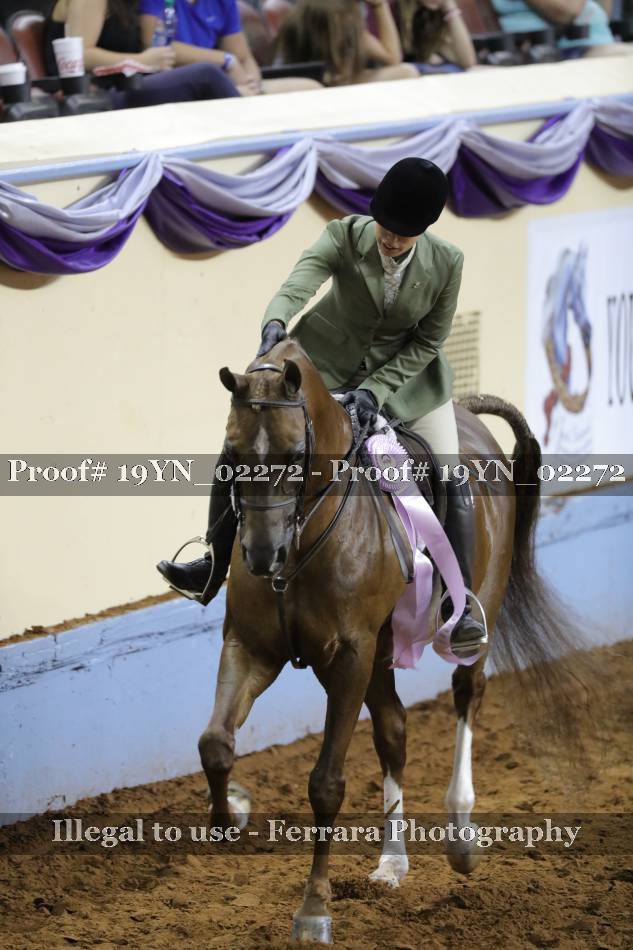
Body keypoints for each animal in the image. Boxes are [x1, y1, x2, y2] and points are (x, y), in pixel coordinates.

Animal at [197, 338, 575, 943]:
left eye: (294, 454)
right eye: (232, 452)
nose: (260, 556)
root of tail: (469, 413)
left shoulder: (349, 659)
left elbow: (326, 784)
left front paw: (314, 909)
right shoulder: (253, 647)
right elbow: (215, 744)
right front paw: (227, 818)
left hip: (471, 619)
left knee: (467, 697)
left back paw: (460, 839)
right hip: (379, 652)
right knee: (394, 730)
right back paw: (392, 862)